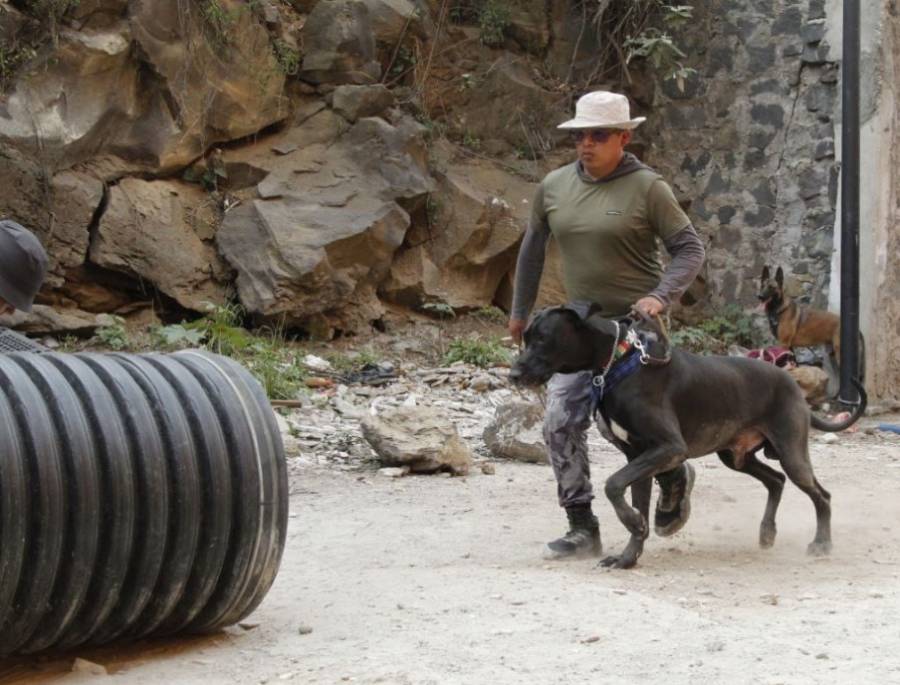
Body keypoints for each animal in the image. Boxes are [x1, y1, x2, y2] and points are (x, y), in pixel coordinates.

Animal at [506, 308, 864, 568]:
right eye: (525, 337)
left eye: (542, 339)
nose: (513, 374)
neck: (618, 364)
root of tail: (792, 383)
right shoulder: (638, 456)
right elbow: (628, 495)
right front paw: (628, 556)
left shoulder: (668, 447)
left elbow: (612, 484)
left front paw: (633, 524)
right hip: (736, 457)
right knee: (775, 480)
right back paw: (767, 532)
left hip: (791, 452)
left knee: (821, 494)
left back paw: (822, 544)